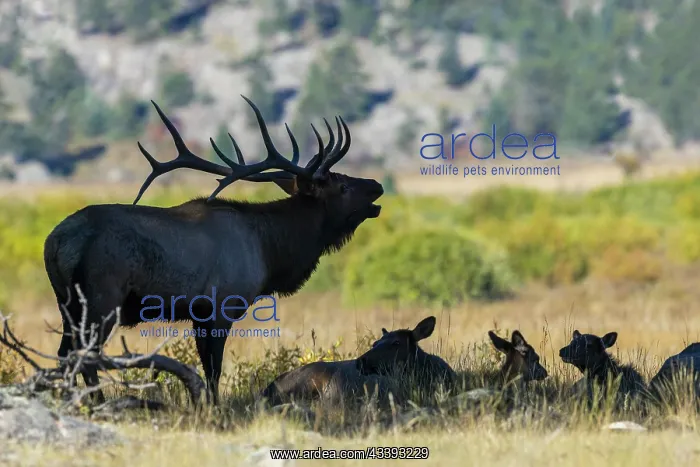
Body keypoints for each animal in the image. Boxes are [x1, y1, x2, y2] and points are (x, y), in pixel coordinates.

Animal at [43, 95, 384, 405]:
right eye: (342, 186)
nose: (377, 185)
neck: (270, 251)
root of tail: (55, 241)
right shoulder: (220, 307)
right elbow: (214, 369)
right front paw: (214, 408)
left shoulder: (200, 314)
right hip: (102, 299)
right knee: (85, 354)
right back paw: (95, 401)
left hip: (65, 303)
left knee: (64, 353)